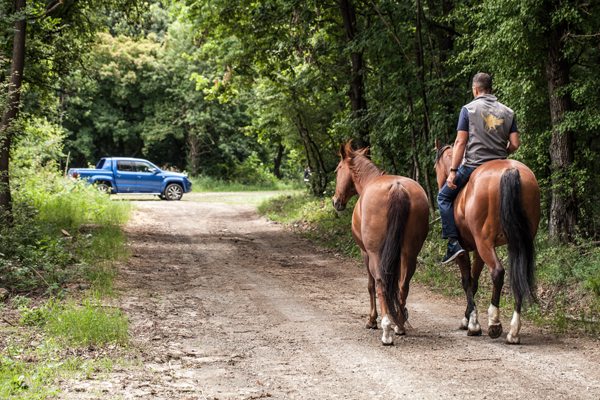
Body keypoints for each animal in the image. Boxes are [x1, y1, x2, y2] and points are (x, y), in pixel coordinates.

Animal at [330, 142, 428, 346]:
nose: (336, 202)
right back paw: (399, 325)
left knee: (380, 282)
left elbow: (370, 285)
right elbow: (395, 283)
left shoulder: (365, 252)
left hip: (375, 253)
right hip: (410, 253)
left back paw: (386, 329)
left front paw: (371, 320)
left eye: (337, 171)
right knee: (403, 284)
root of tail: (397, 188)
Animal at [434, 140, 540, 344]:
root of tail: (510, 170)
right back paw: (514, 331)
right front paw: (469, 318)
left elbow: (467, 281)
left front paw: (472, 323)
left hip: (485, 243)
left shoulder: (465, 250)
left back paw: (494, 322)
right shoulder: (477, 250)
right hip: (519, 242)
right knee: (519, 275)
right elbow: (474, 282)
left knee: (497, 272)